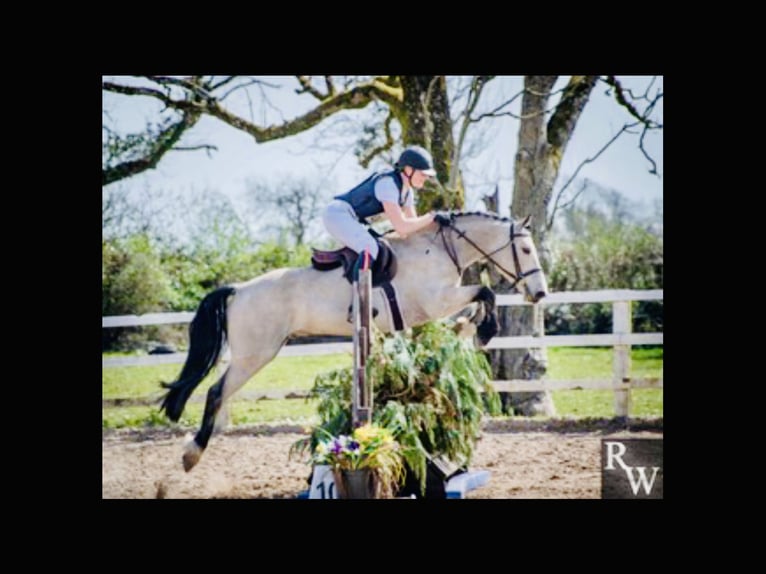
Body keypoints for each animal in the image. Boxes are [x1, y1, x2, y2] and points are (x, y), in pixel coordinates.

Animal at [160, 211, 549, 471]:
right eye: (527, 251)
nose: (540, 293)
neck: (439, 250)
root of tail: (238, 290)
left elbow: (473, 305)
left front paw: (469, 328)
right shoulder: (435, 301)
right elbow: (485, 292)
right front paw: (484, 331)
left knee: (219, 391)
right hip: (256, 354)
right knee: (215, 391)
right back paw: (192, 453)